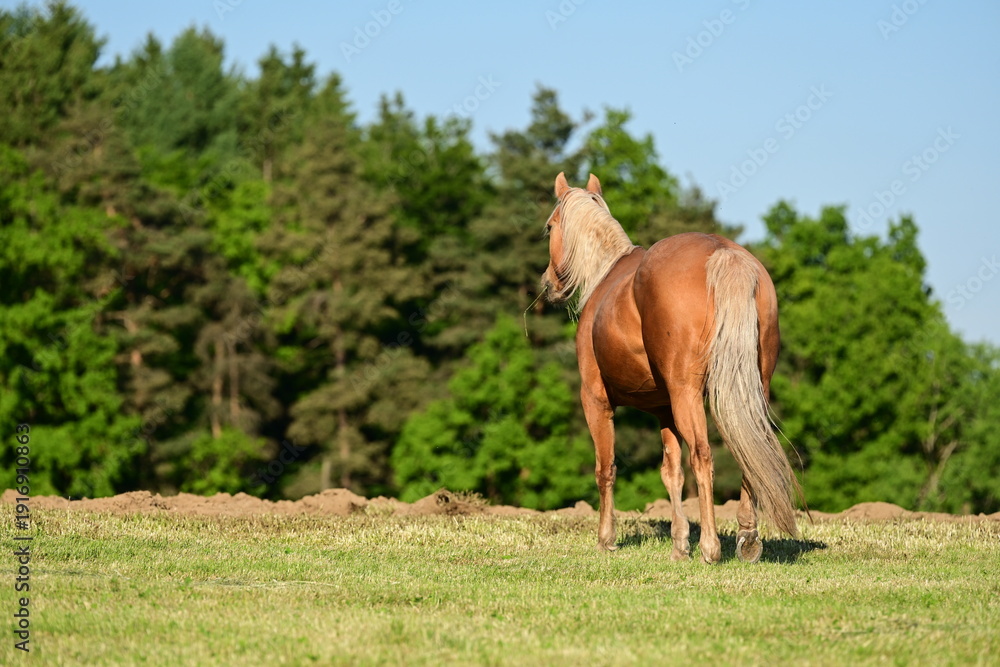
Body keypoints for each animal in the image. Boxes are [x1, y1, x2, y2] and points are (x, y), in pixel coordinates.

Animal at [540, 172, 801, 563]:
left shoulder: (596, 400)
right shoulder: (663, 410)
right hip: (747, 392)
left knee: (703, 457)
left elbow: (607, 468)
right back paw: (747, 538)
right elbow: (671, 472)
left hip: (686, 395)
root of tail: (723, 252)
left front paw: (606, 538)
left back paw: (711, 546)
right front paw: (679, 544)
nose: (548, 284)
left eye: (550, 226)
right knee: (749, 453)